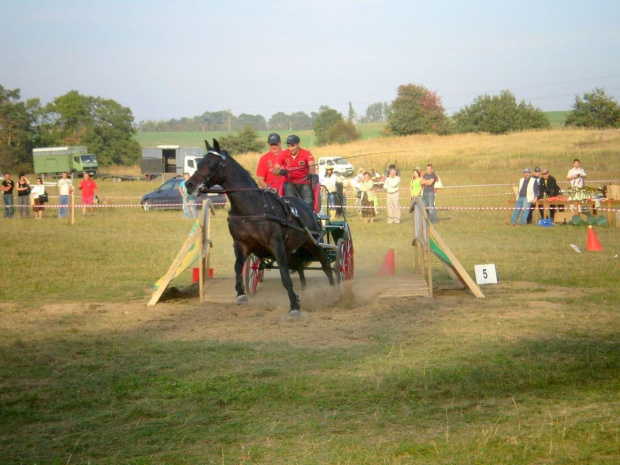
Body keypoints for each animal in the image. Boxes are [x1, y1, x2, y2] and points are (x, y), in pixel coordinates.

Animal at [184, 140, 334, 314]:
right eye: (199, 162)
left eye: (212, 163)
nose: (189, 184)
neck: (251, 209)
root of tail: (308, 207)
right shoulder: (241, 245)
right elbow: (238, 268)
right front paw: (241, 294)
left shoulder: (276, 245)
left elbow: (284, 275)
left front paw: (294, 306)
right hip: (292, 247)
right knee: (298, 265)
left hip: (312, 242)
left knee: (326, 265)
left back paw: (335, 291)